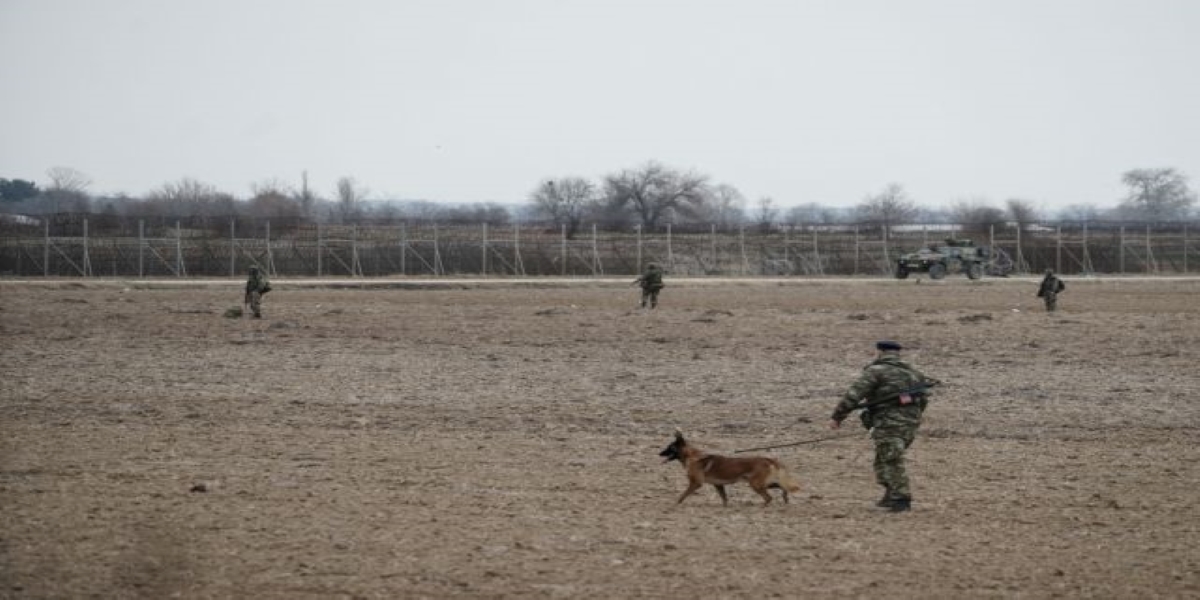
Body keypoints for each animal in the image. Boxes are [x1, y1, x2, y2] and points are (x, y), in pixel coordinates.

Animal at [662, 429, 801, 508]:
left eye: (669, 447)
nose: (659, 453)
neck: (693, 457)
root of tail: (767, 459)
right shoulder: (718, 485)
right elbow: (724, 498)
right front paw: (725, 507)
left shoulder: (696, 483)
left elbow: (683, 495)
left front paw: (676, 504)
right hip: (761, 483)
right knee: (781, 487)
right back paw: (785, 498)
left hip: (755, 484)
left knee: (769, 497)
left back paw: (763, 506)